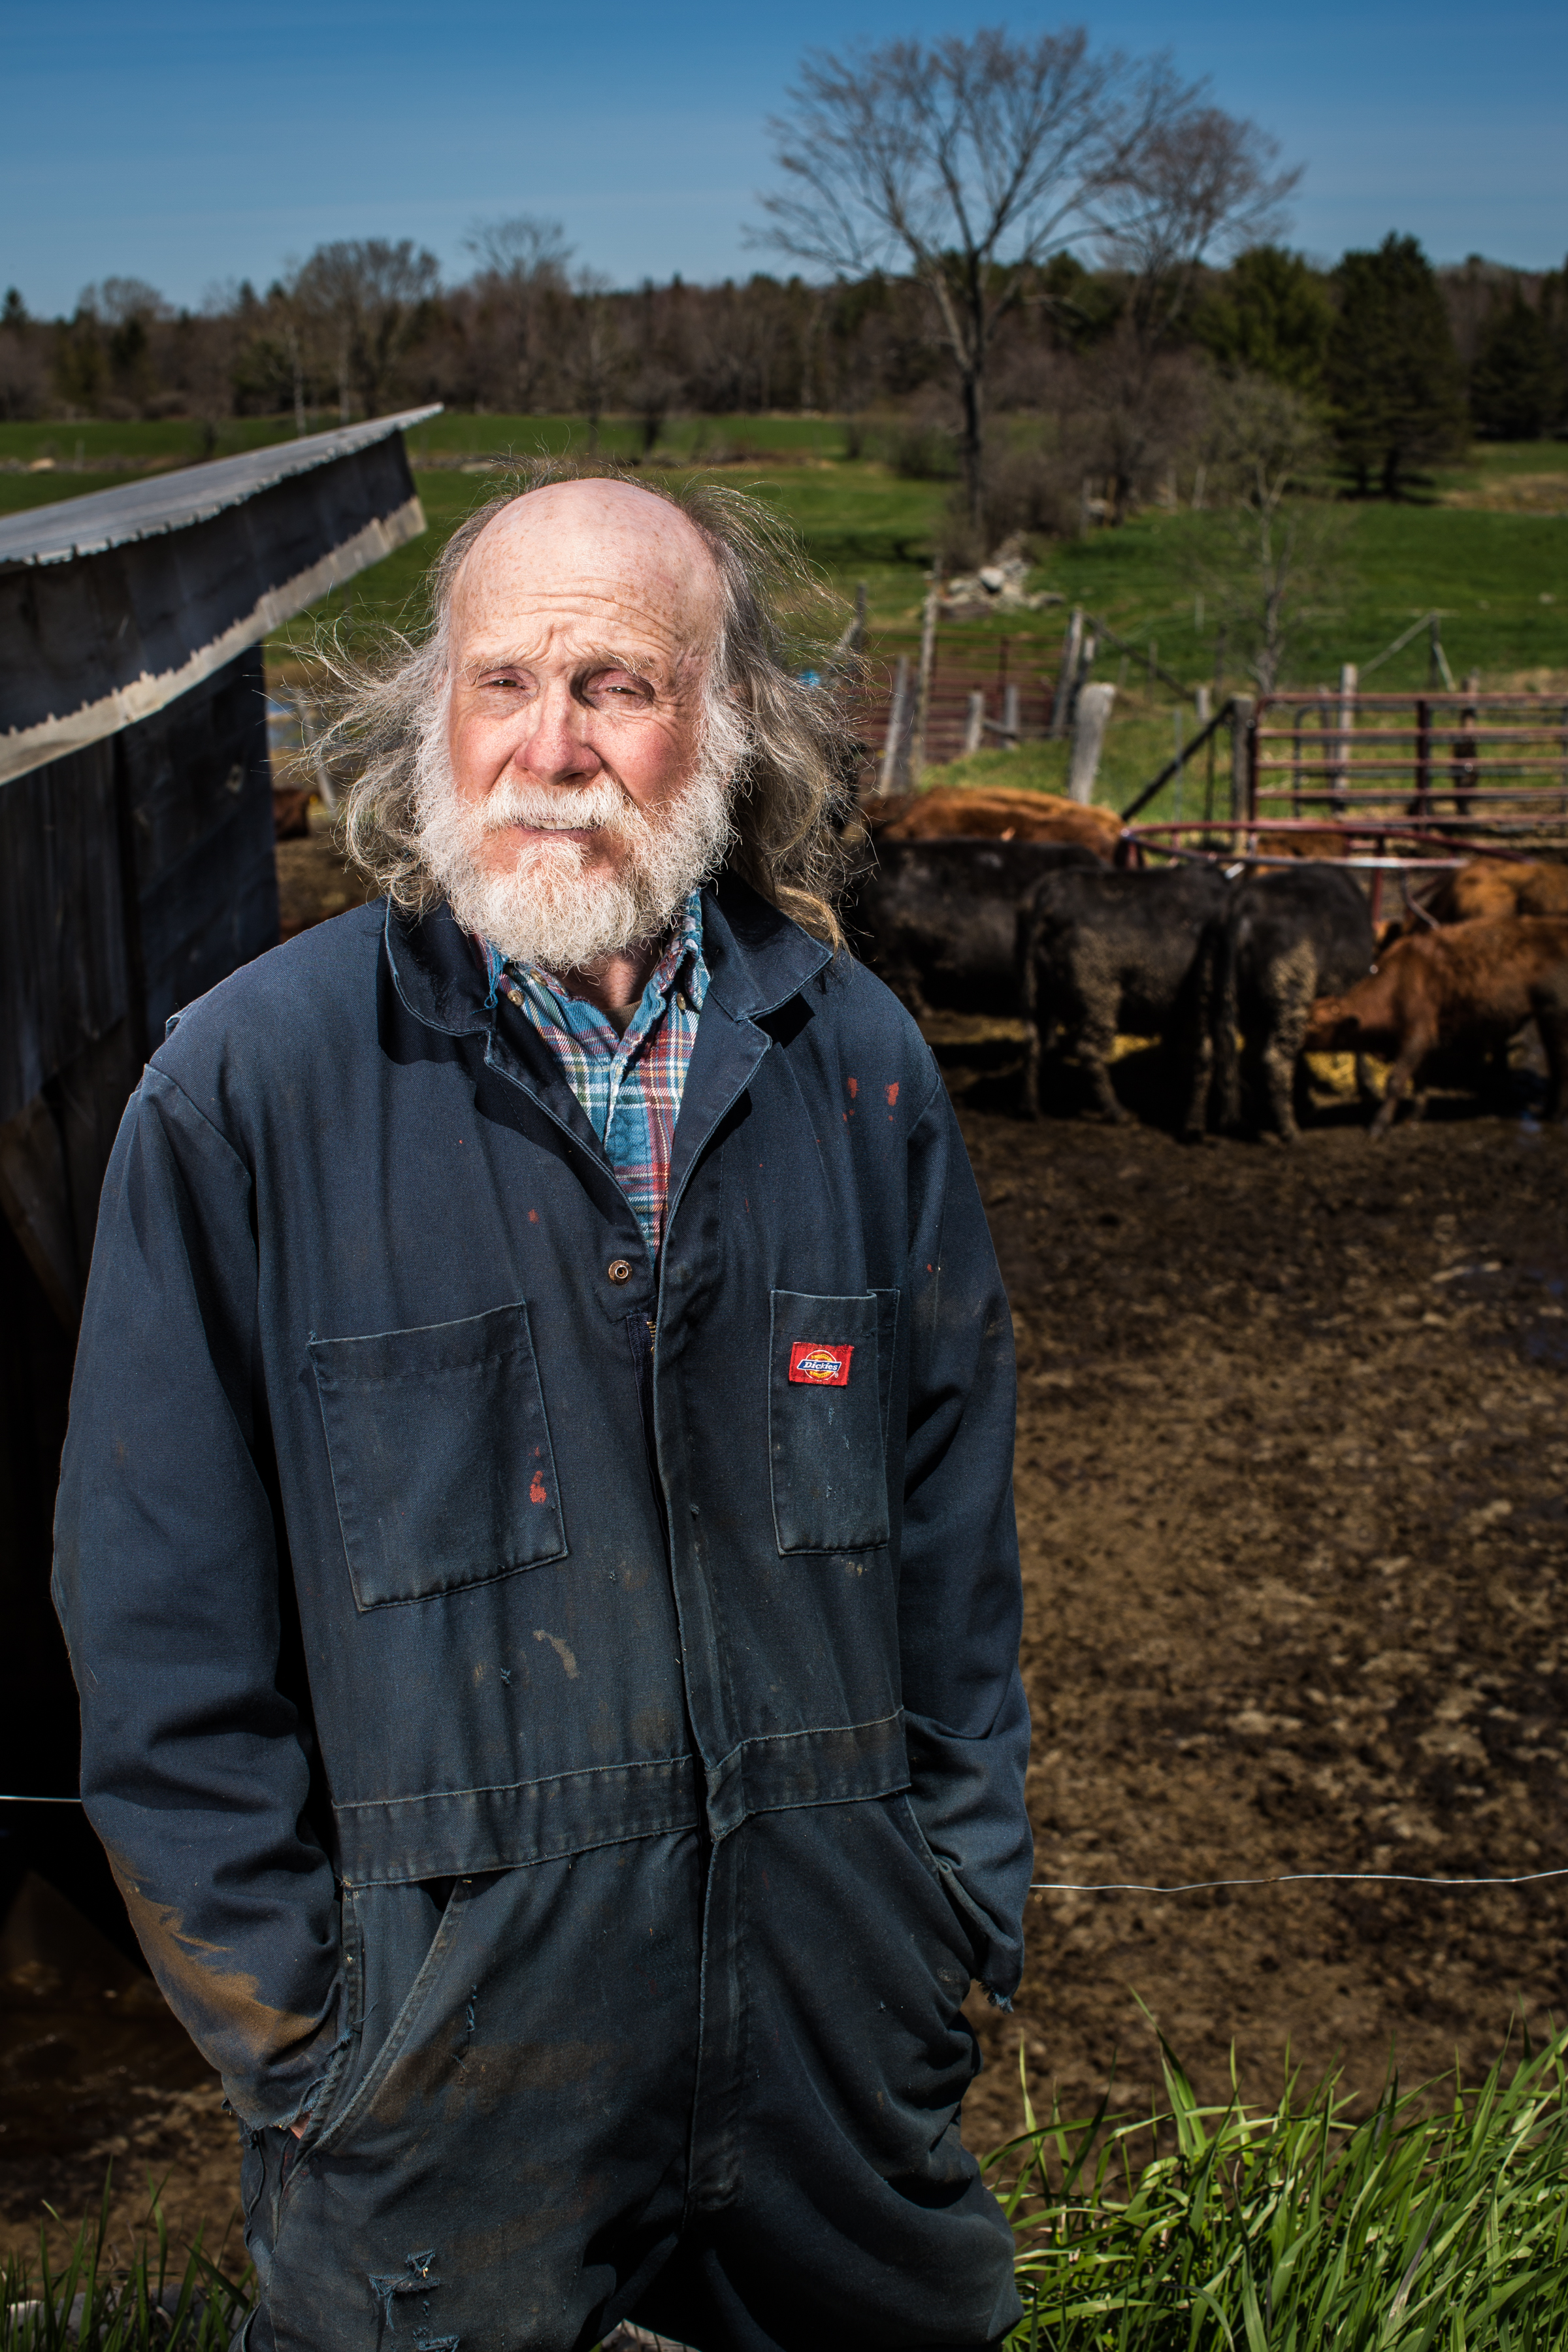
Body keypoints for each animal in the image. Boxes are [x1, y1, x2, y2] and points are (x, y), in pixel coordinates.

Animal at [1020, 870, 1241, 1124]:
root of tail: (1050, 891)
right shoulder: (1206, 997)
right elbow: (1208, 1051)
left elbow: (1175, 1044)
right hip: (1100, 1000)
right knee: (1089, 1051)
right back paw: (1118, 1111)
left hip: (1037, 996)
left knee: (1032, 1043)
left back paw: (1031, 1108)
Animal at [1298, 917, 1568, 1138]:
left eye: (1315, 1023)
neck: (1400, 982)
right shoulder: (1423, 1039)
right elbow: (1420, 1076)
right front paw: (1415, 1114)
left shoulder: (1417, 1034)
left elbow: (1396, 1080)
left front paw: (1379, 1125)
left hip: (1554, 1015)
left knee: (1559, 1063)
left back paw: (1555, 1114)